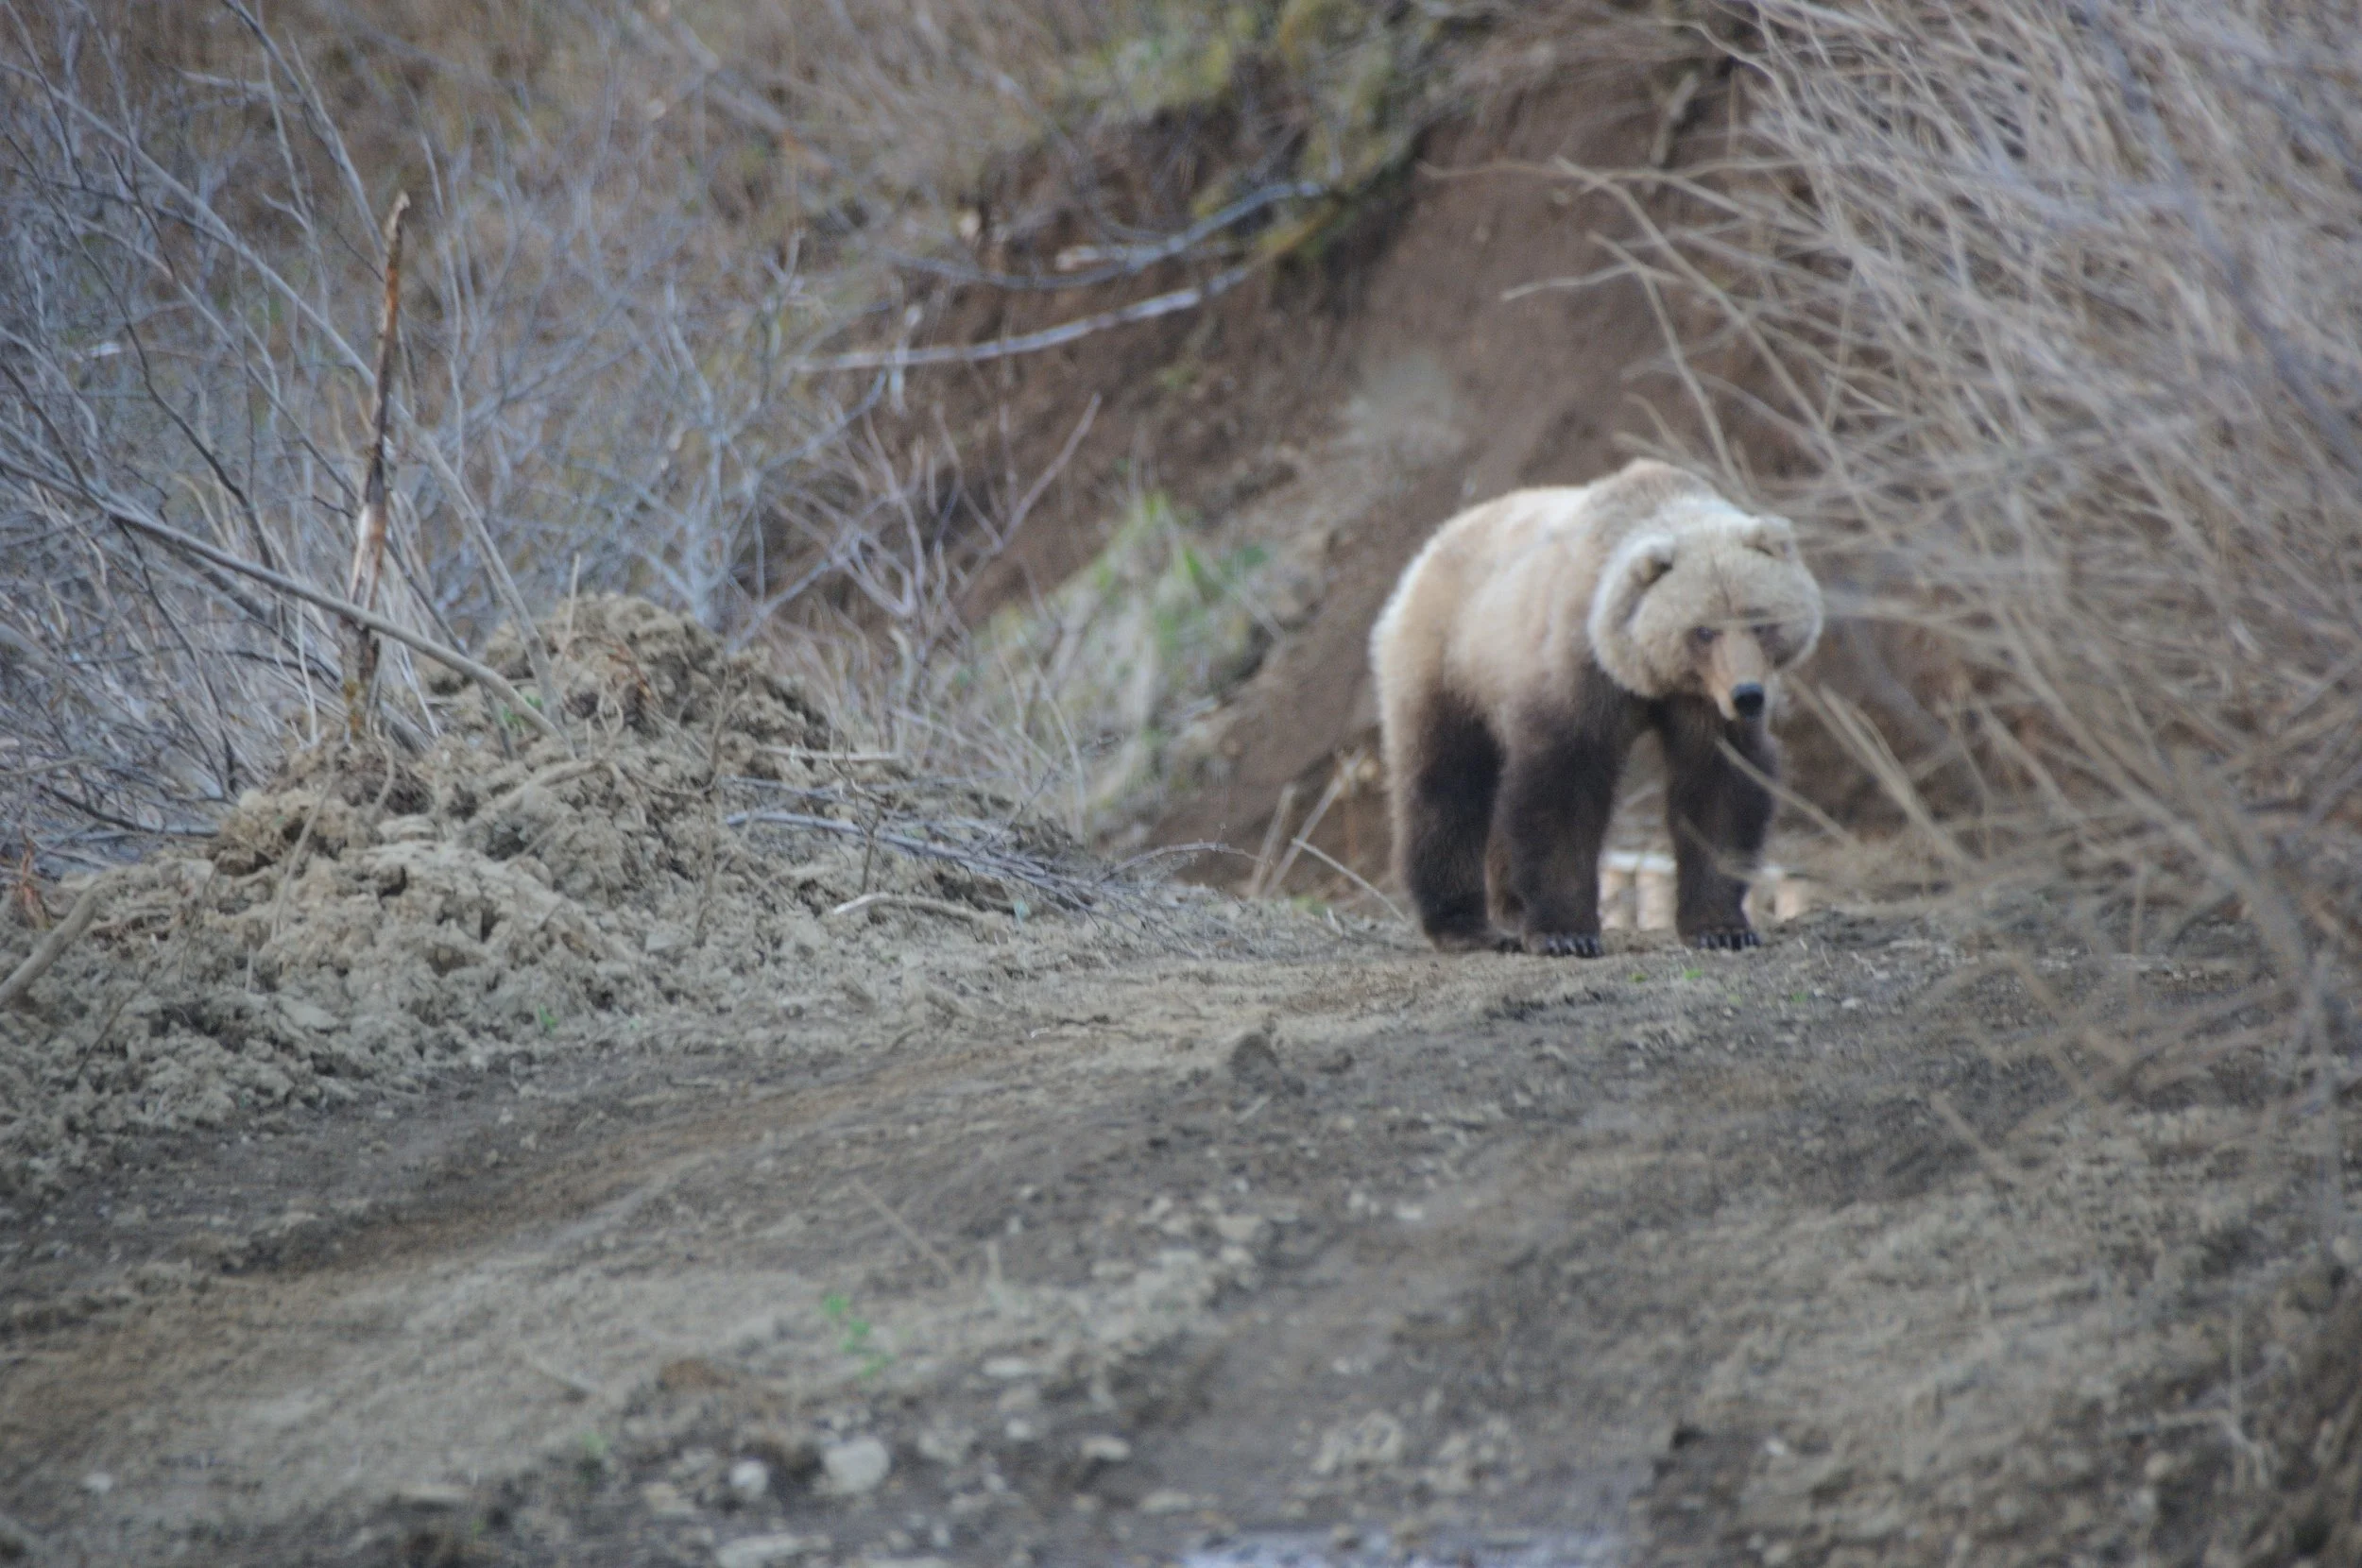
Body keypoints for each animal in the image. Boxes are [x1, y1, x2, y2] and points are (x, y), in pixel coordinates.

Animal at [1368, 458, 1823, 956]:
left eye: (1760, 621)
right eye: (1704, 630)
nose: (1747, 695)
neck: (1641, 670)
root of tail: (1432, 546)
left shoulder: (1702, 703)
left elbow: (1718, 786)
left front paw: (1722, 927)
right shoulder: (1577, 673)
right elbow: (1565, 787)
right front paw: (1567, 933)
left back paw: (1512, 909)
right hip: (1453, 658)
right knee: (1446, 781)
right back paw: (1464, 925)